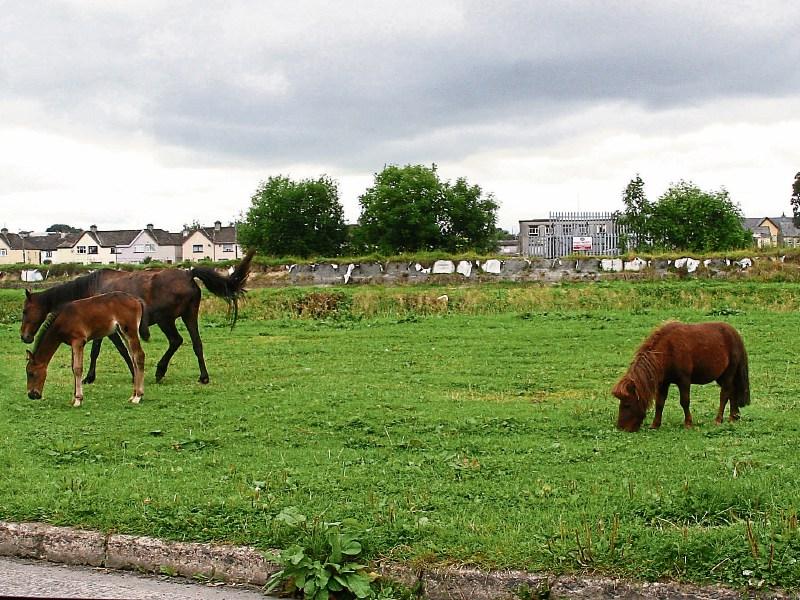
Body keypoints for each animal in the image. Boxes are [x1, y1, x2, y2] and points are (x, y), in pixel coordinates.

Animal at [21, 250, 254, 385]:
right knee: (196, 344)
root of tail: (188, 274)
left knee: (176, 341)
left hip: (166, 320)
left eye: (24, 311)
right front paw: (92, 376)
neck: (91, 288)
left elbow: (115, 351)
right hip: (189, 316)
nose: (24, 336)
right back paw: (202, 376)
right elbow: (99, 351)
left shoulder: (109, 330)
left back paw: (160, 371)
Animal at [612, 321, 750, 432]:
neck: (668, 350)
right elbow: (659, 403)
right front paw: (655, 424)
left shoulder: (684, 380)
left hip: (728, 374)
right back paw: (733, 417)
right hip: (720, 376)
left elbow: (684, 401)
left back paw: (718, 419)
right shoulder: (664, 383)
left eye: (627, 404)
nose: (621, 428)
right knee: (732, 392)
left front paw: (688, 423)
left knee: (724, 395)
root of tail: (735, 335)